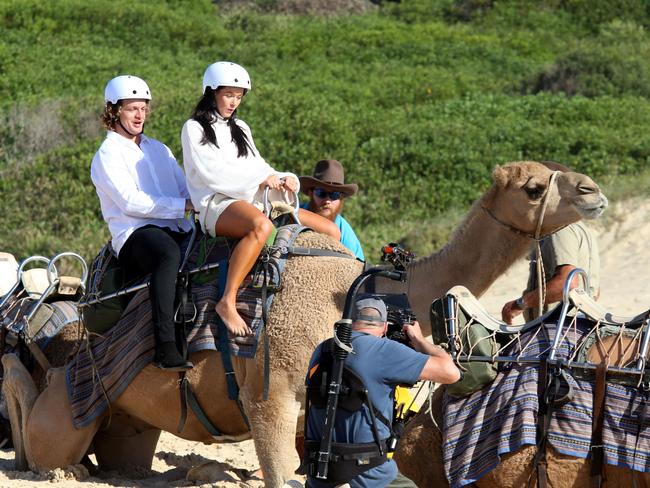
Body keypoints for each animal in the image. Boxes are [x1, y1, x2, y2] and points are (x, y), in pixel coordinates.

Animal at [2, 162, 604, 486]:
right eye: (533, 187)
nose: (592, 190)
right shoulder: (270, 397)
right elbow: (278, 465)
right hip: (69, 412)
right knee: (46, 435)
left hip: (127, 422)